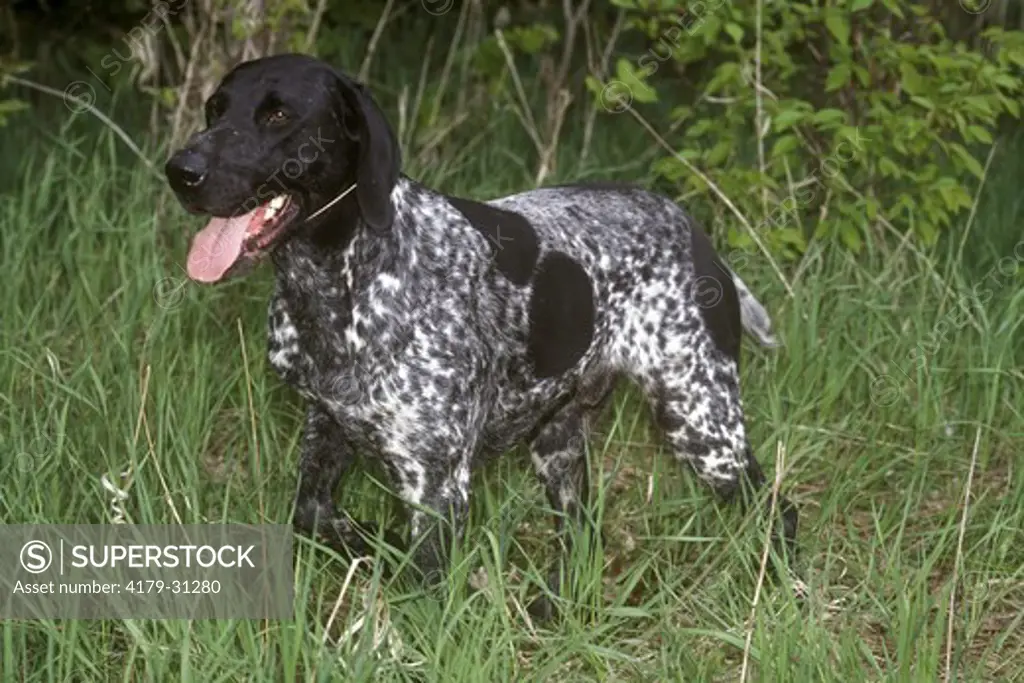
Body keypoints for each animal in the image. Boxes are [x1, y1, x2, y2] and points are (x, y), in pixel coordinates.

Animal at [163, 53, 794, 618]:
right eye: (215, 109)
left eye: (277, 115)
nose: (180, 171)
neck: (341, 283)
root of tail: (690, 226)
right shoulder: (327, 431)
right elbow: (319, 518)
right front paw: (376, 547)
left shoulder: (435, 485)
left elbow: (422, 588)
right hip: (559, 445)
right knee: (584, 534)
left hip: (702, 425)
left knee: (776, 509)